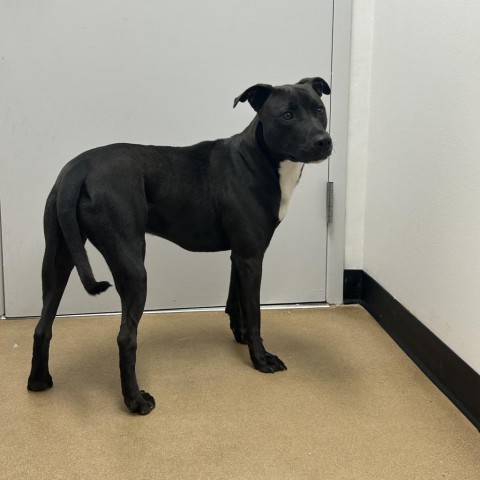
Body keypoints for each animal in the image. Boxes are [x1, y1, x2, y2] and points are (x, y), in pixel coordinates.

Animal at [28, 77, 332, 414]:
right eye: (287, 115)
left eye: (319, 109)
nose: (324, 141)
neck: (257, 159)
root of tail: (79, 168)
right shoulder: (252, 257)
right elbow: (254, 314)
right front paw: (260, 359)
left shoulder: (239, 257)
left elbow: (236, 301)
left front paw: (239, 336)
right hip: (133, 267)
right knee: (125, 338)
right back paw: (135, 400)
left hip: (58, 260)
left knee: (43, 325)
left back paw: (39, 381)